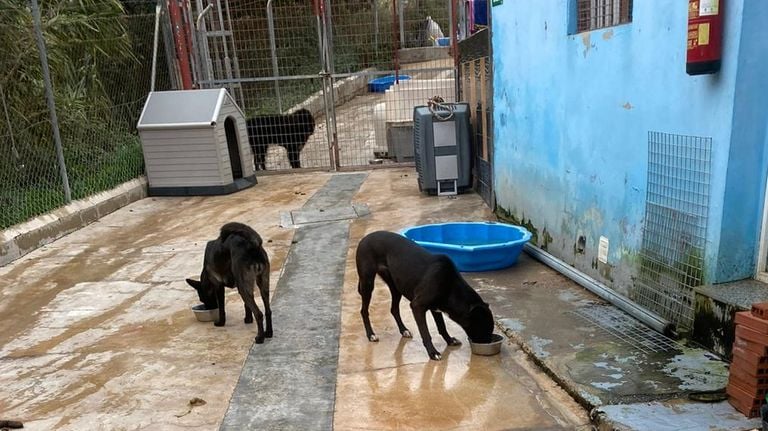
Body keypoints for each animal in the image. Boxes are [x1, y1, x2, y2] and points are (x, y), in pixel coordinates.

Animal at [356, 230, 496, 362]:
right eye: (484, 328)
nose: (488, 343)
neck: (450, 285)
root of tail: (365, 238)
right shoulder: (417, 306)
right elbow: (426, 333)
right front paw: (433, 353)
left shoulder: (436, 307)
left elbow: (442, 326)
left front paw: (449, 340)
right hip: (368, 283)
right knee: (364, 311)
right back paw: (371, 334)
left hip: (396, 287)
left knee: (394, 309)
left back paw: (404, 330)